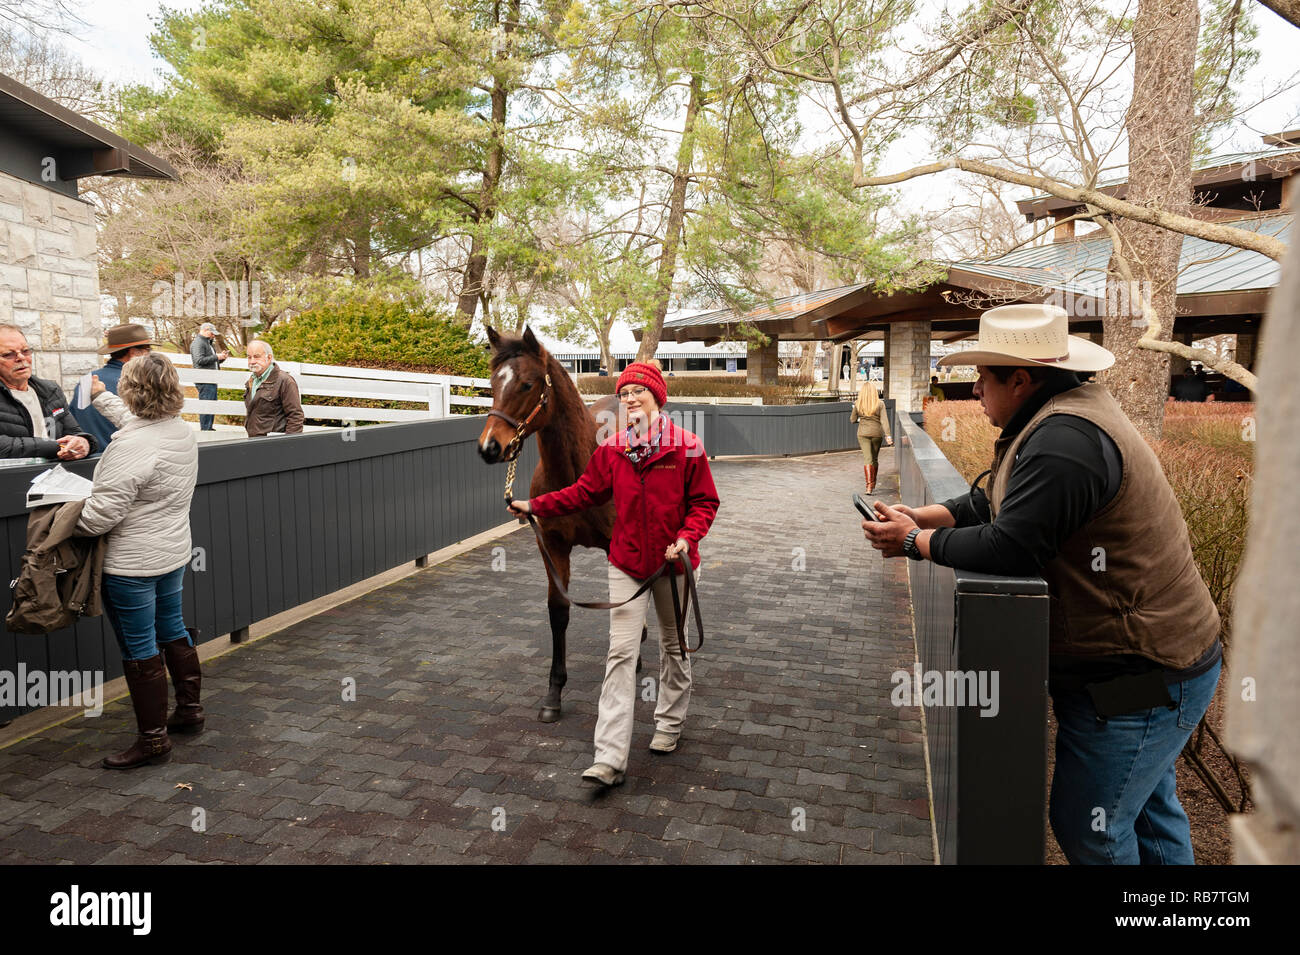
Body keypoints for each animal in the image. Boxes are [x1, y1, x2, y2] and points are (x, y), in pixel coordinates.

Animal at [477, 326, 644, 722]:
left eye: (527, 384)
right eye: (492, 382)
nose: (490, 447)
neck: (578, 471)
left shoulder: (617, 545)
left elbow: (626, 605)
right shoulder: (551, 545)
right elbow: (558, 611)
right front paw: (553, 693)